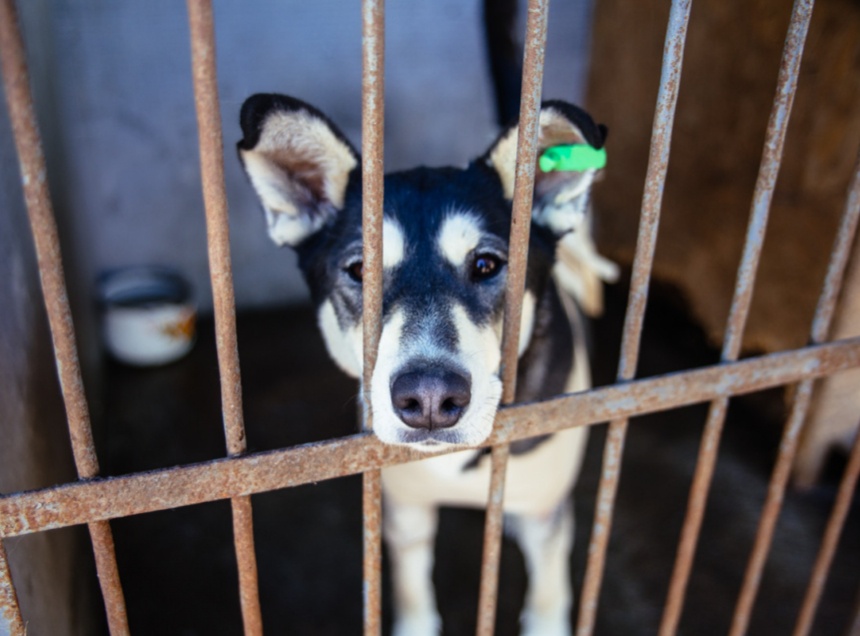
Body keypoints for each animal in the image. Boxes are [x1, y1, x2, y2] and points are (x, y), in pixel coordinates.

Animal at [237, 93, 615, 635]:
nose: (431, 398)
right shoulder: (406, 511)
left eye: (487, 264)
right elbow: (412, 586)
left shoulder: (546, 512)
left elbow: (548, 586)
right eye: (360, 271)